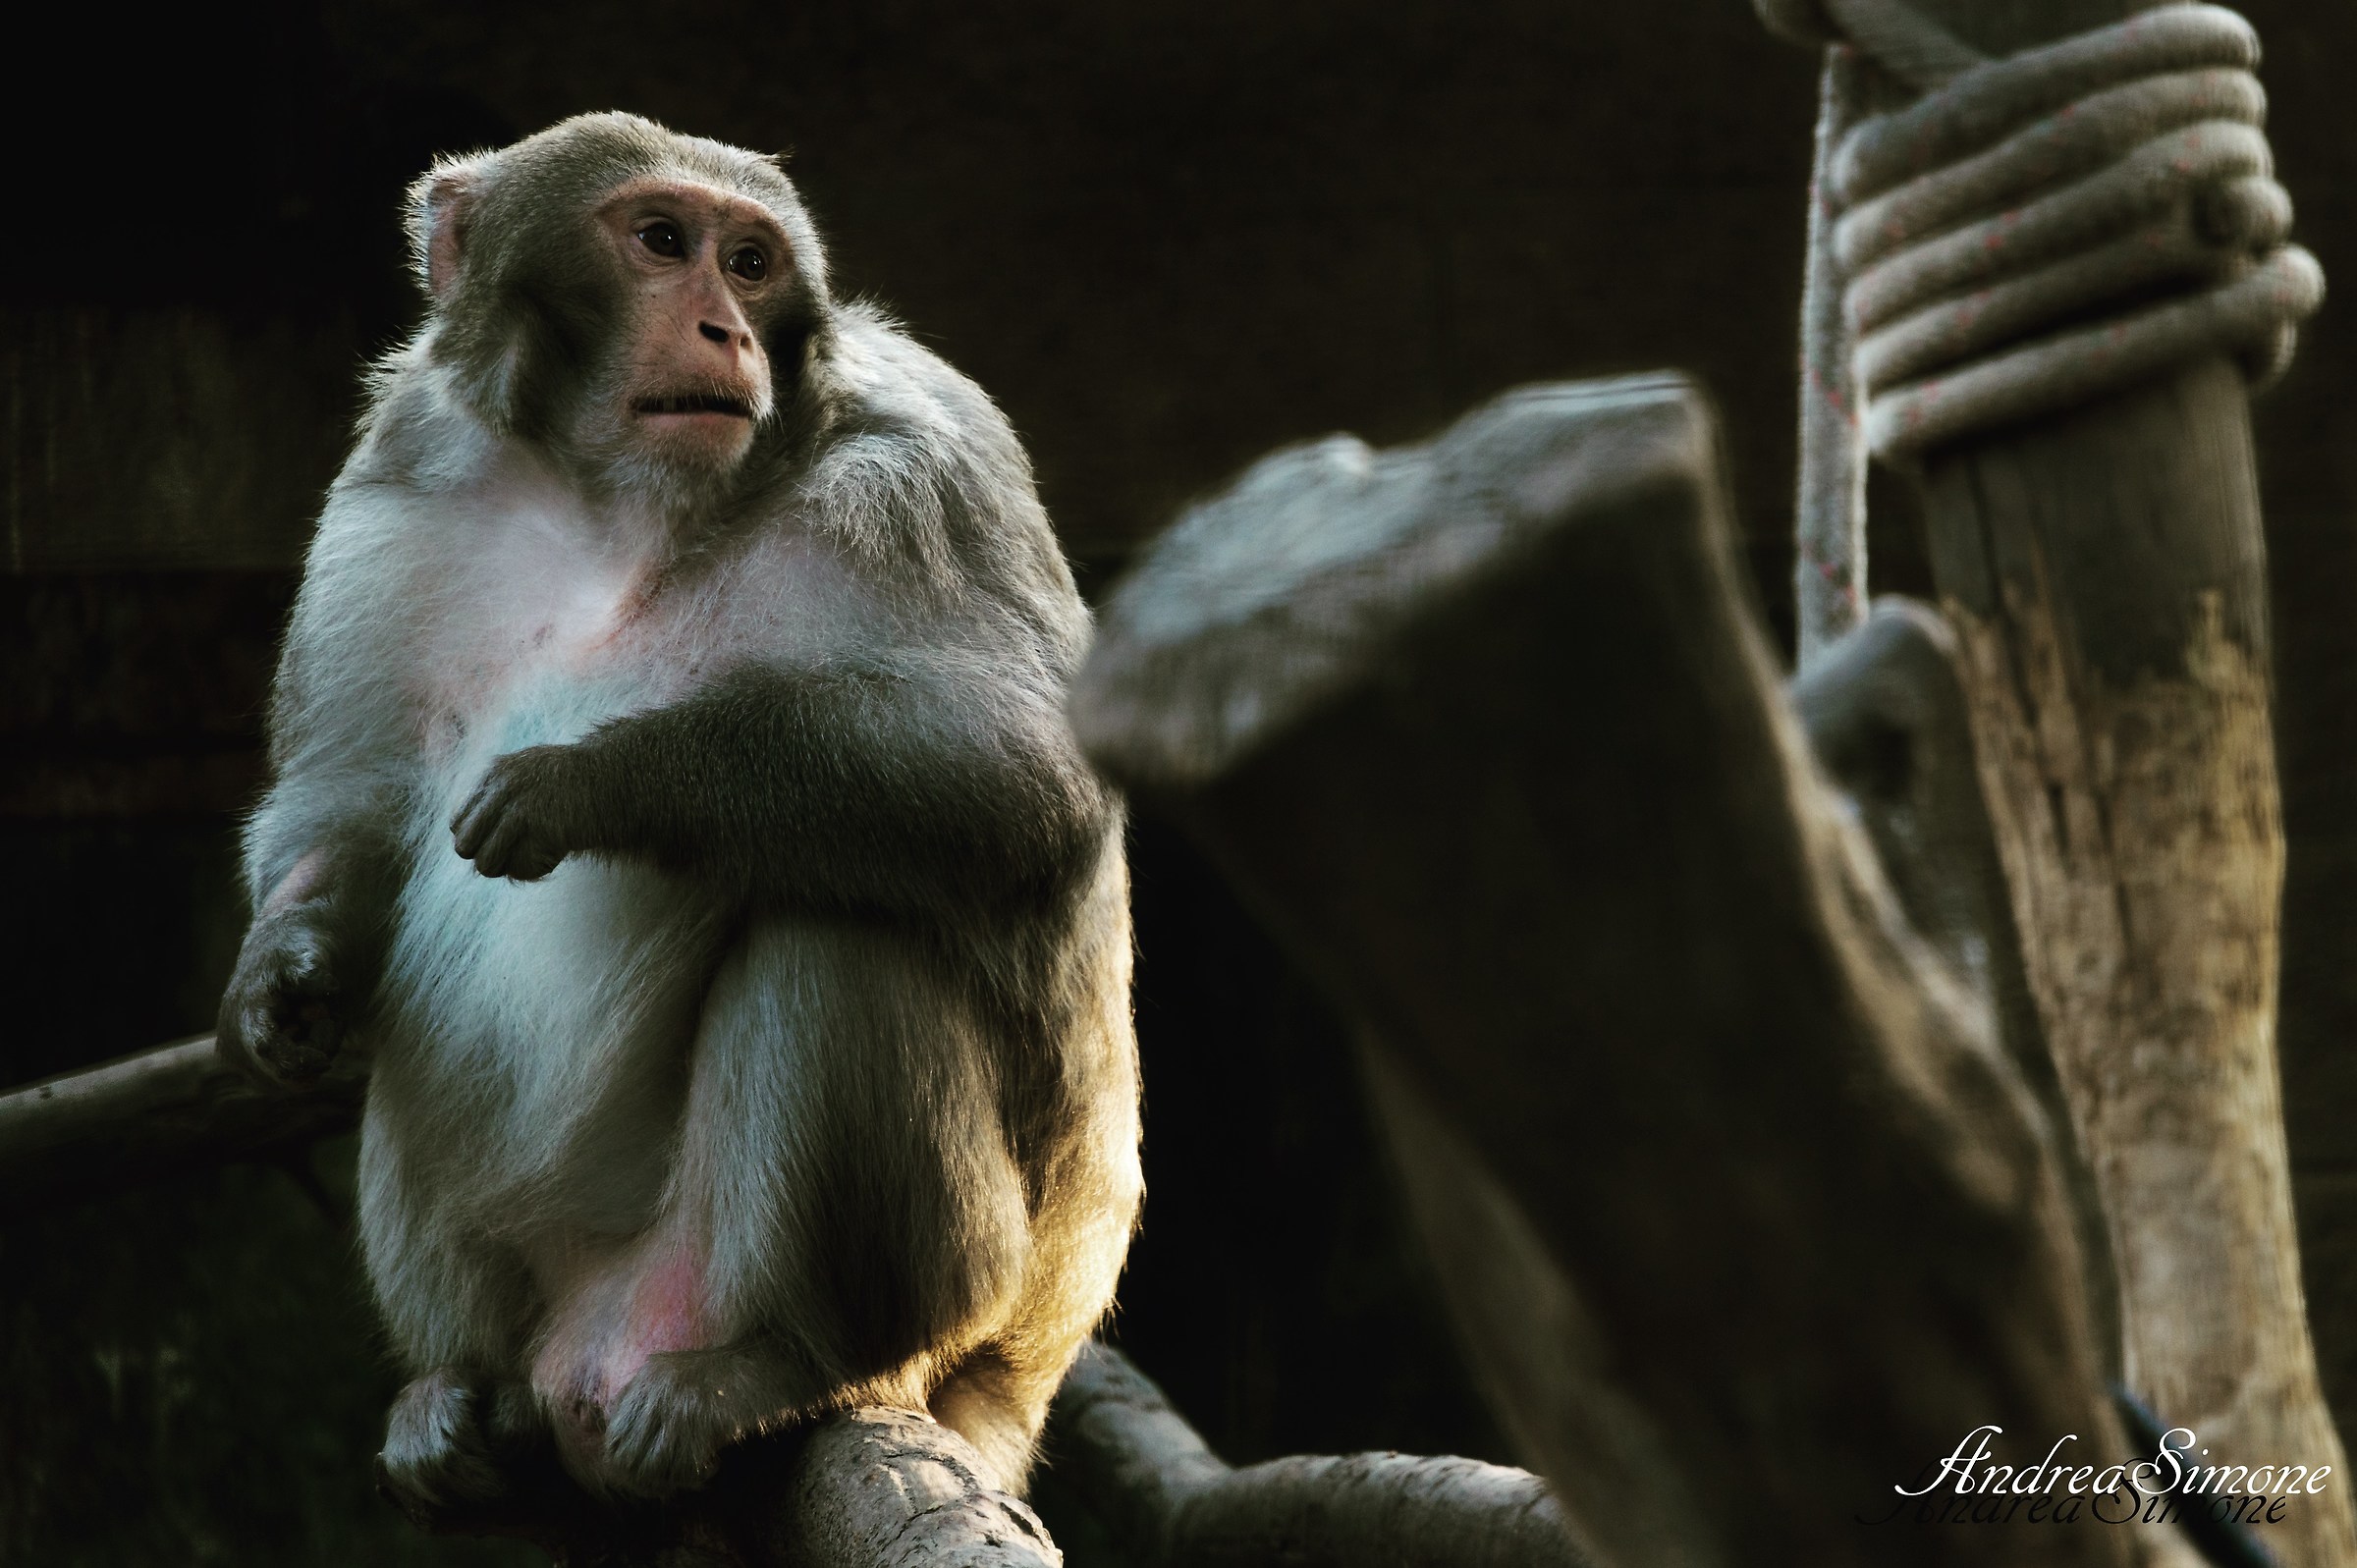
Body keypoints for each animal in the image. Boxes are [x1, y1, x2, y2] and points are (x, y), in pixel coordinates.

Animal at [212, 111, 1141, 1511]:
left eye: (750, 263)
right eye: (661, 240)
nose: (724, 329)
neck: (619, 506)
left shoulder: (925, 464)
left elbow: (1030, 775)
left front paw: (599, 779)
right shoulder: (404, 469)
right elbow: (349, 795)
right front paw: (285, 971)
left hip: (925, 1306)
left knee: (841, 926)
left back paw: (783, 1363)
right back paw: (456, 1390)